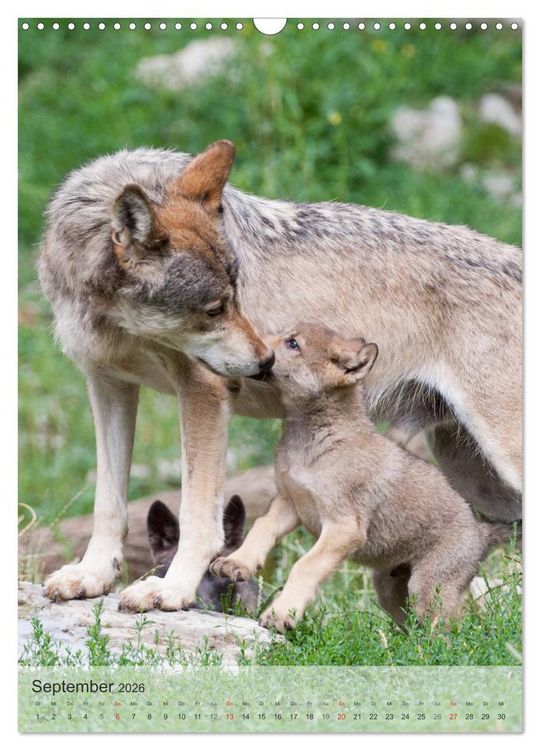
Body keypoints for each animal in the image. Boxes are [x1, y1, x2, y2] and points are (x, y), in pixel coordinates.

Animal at [211, 324, 515, 632]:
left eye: (293, 343)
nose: (253, 345)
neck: (317, 441)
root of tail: (481, 532)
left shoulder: (343, 527)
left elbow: (305, 565)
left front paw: (280, 614)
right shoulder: (289, 503)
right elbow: (261, 529)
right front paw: (237, 563)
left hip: (428, 591)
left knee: (454, 631)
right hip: (390, 591)